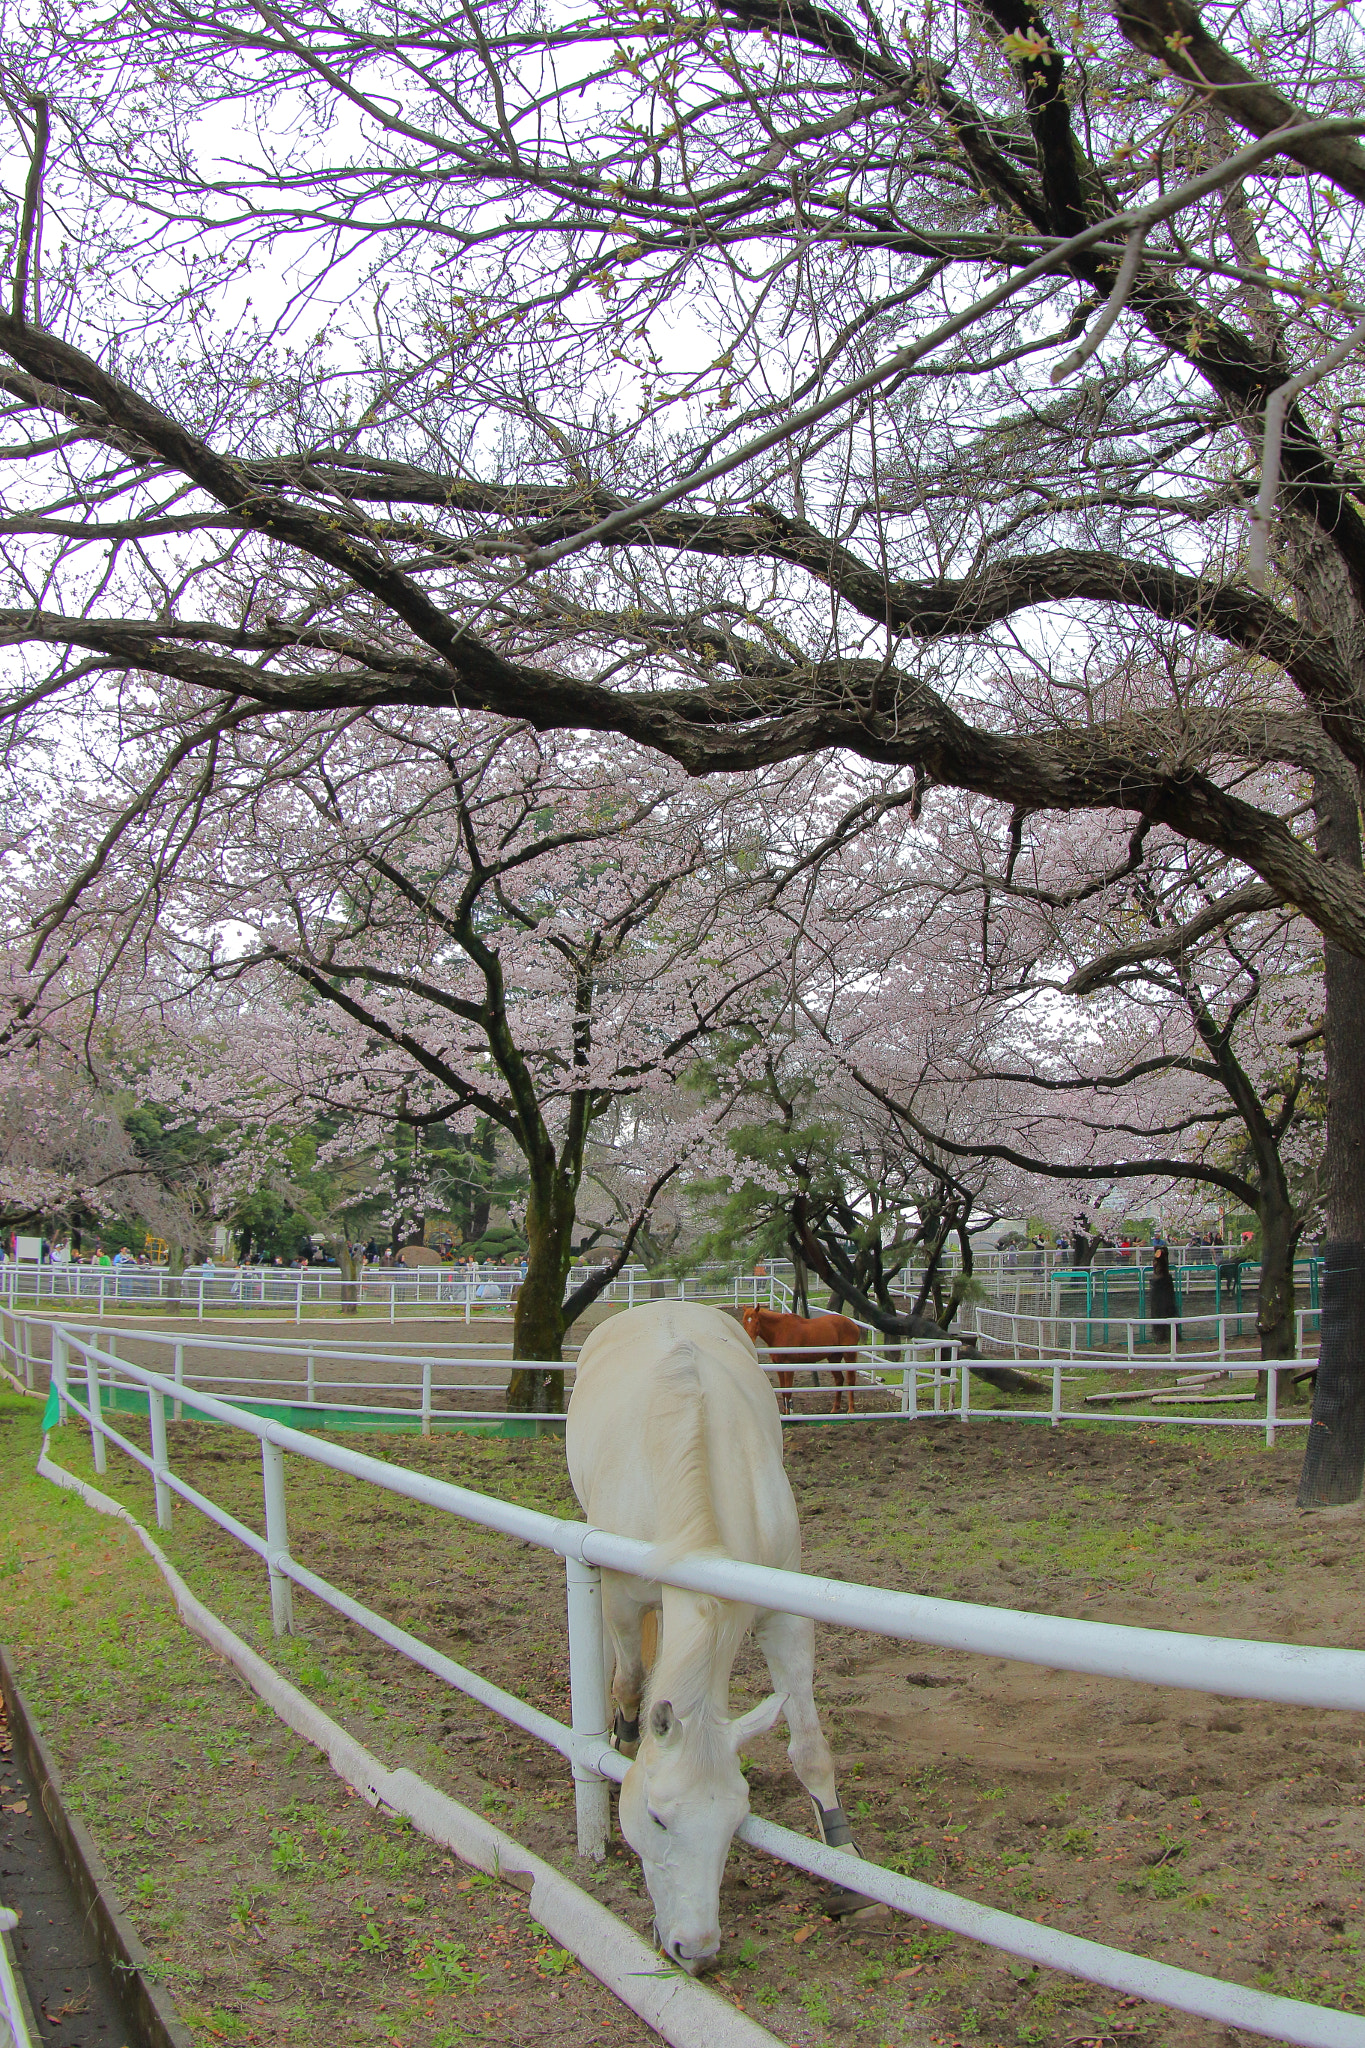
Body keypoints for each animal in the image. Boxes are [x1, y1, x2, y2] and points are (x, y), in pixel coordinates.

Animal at [565, 1301, 862, 1972]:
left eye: (736, 1822)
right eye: (656, 1818)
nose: (694, 1949)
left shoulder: (782, 1616)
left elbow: (809, 1747)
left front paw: (845, 1866)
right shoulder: (624, 1600)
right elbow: (631, 1681)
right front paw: (623, 1742)